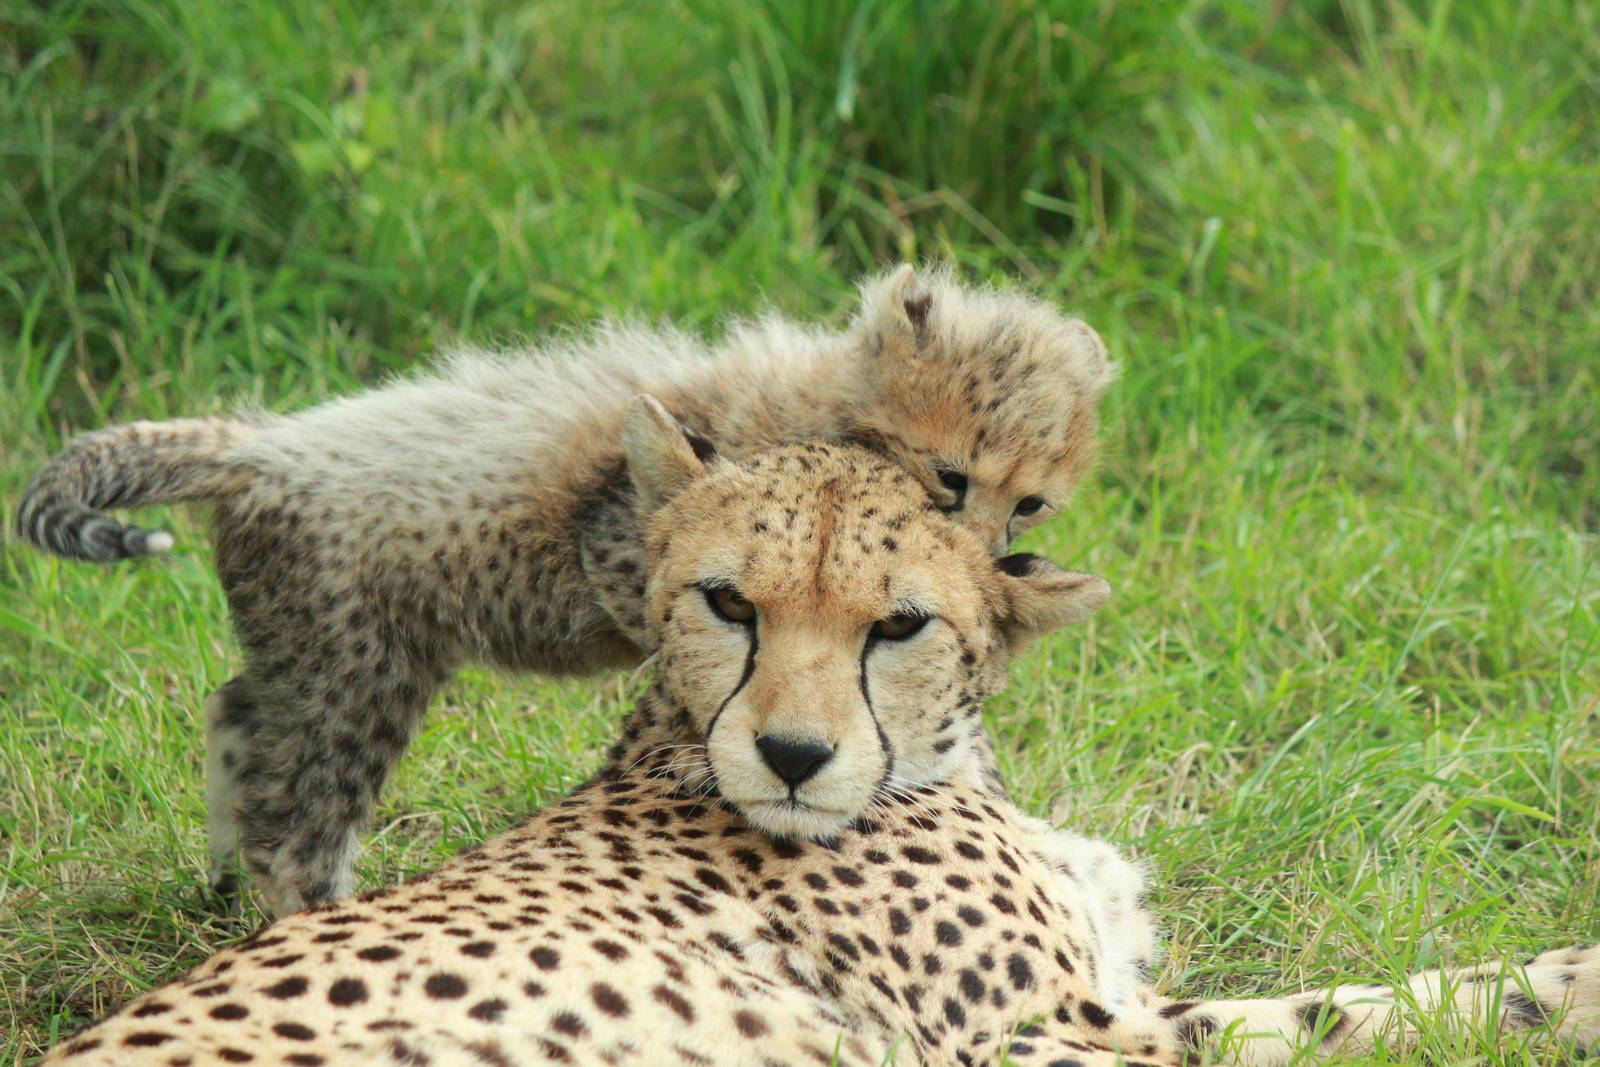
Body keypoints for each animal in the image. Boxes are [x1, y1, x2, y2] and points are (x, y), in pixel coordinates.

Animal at [13, 265, 1115, 917]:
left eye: (1030, 504)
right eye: (953, 478)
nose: (985, 564)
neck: (826, 397)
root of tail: (260, 443)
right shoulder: (624, 530)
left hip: (307, 647)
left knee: (239, 713)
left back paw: (217, 875)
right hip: (357, 670)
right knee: (297, 818)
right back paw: (302, 912)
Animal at [38, 410, 1600, 1067]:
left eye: (896, 623)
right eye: (728, 599)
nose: (790, 756)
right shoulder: (1041, 1044)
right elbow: (1366, 1007)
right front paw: (1569, 980)